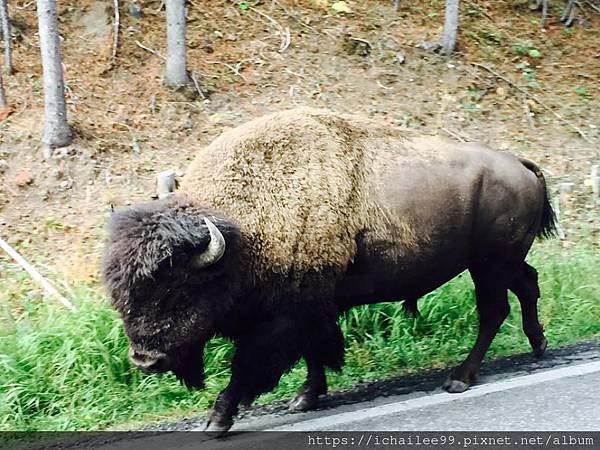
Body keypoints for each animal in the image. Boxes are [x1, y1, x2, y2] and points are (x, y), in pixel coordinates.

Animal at [102, 107, 552, 434]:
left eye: (177, 288)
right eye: (120, 293)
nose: (145, 360)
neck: (241, 235)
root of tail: (519, 164)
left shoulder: (282, 318)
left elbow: (249, 365)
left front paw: (218, 418)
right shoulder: (311, 308)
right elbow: (313, 353)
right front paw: (305, 397)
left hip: (488, 266)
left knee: (493, 312)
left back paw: (461, 377)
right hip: (502, 263)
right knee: (527, 286)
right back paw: (538, 345)